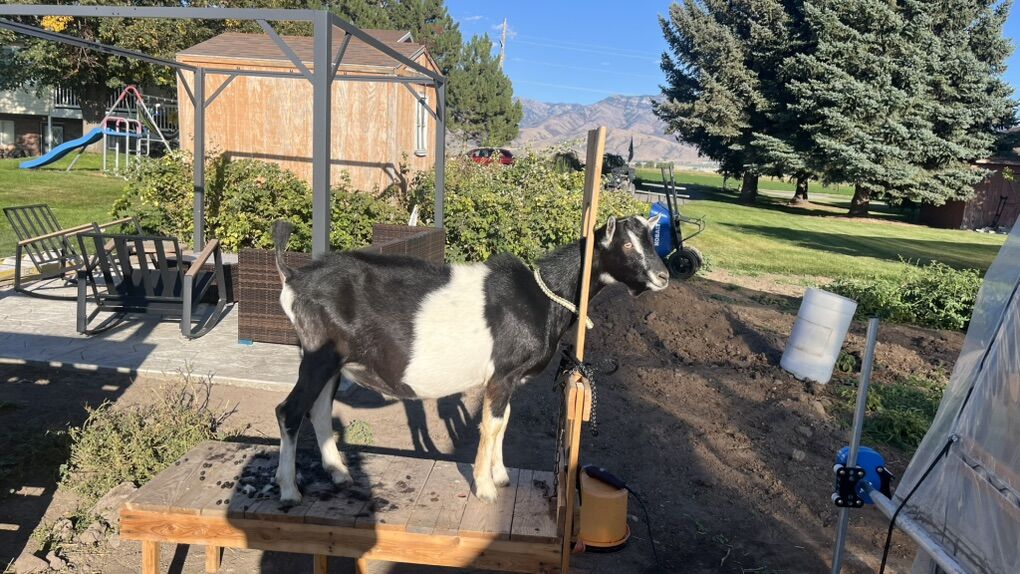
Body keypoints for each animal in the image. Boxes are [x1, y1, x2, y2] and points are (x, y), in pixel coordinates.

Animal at [272, 215, 670, 504]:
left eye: (652, 240)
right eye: (626, 244)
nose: (663, 276)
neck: (542, 297)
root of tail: (294, 278)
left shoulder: (508, 380)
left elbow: (503, 421)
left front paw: (501, 476)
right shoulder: (503, 375)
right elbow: (491, 425)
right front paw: (486, 488)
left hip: (331, 362)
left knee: (319, 410)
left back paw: (338, 472)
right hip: (318, 356)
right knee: (289, 411)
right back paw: (290, 490)